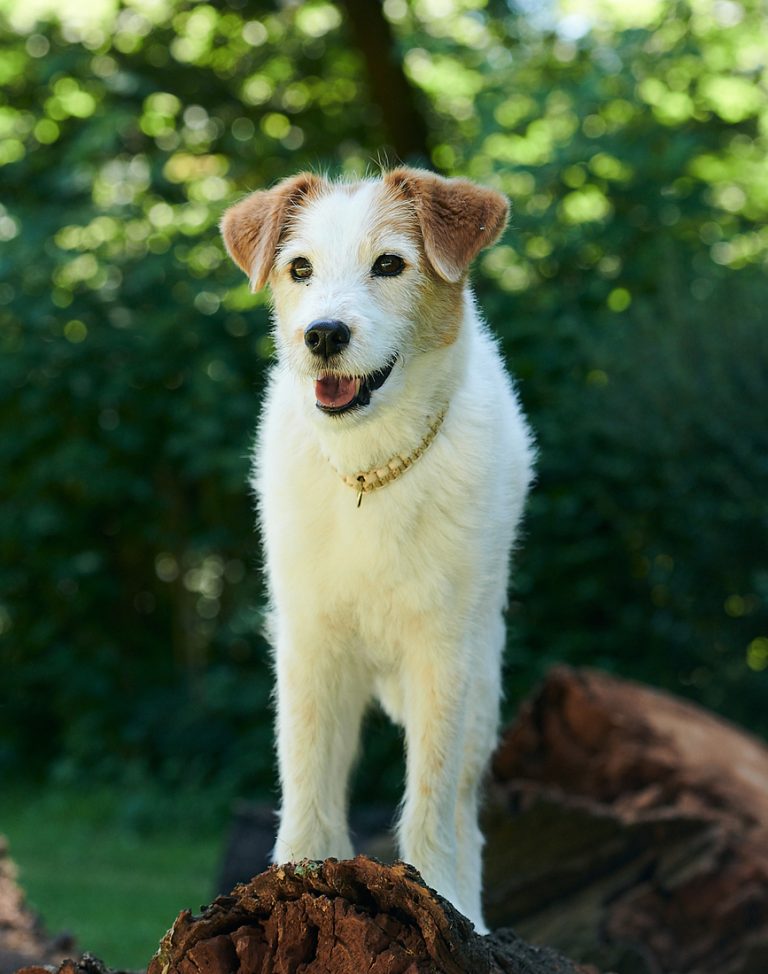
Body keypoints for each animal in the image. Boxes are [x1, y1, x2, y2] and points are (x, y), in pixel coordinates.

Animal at [220, 170, 536, 936]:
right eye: (299, 269)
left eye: (390, 264)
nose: (323, 334)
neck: (372, 469)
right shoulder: (309, 647)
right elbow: (307, 775)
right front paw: (295, 876)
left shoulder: (443, 656)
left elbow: (432, 796)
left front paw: (442, 897)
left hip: (482, 679)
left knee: (462, 805)